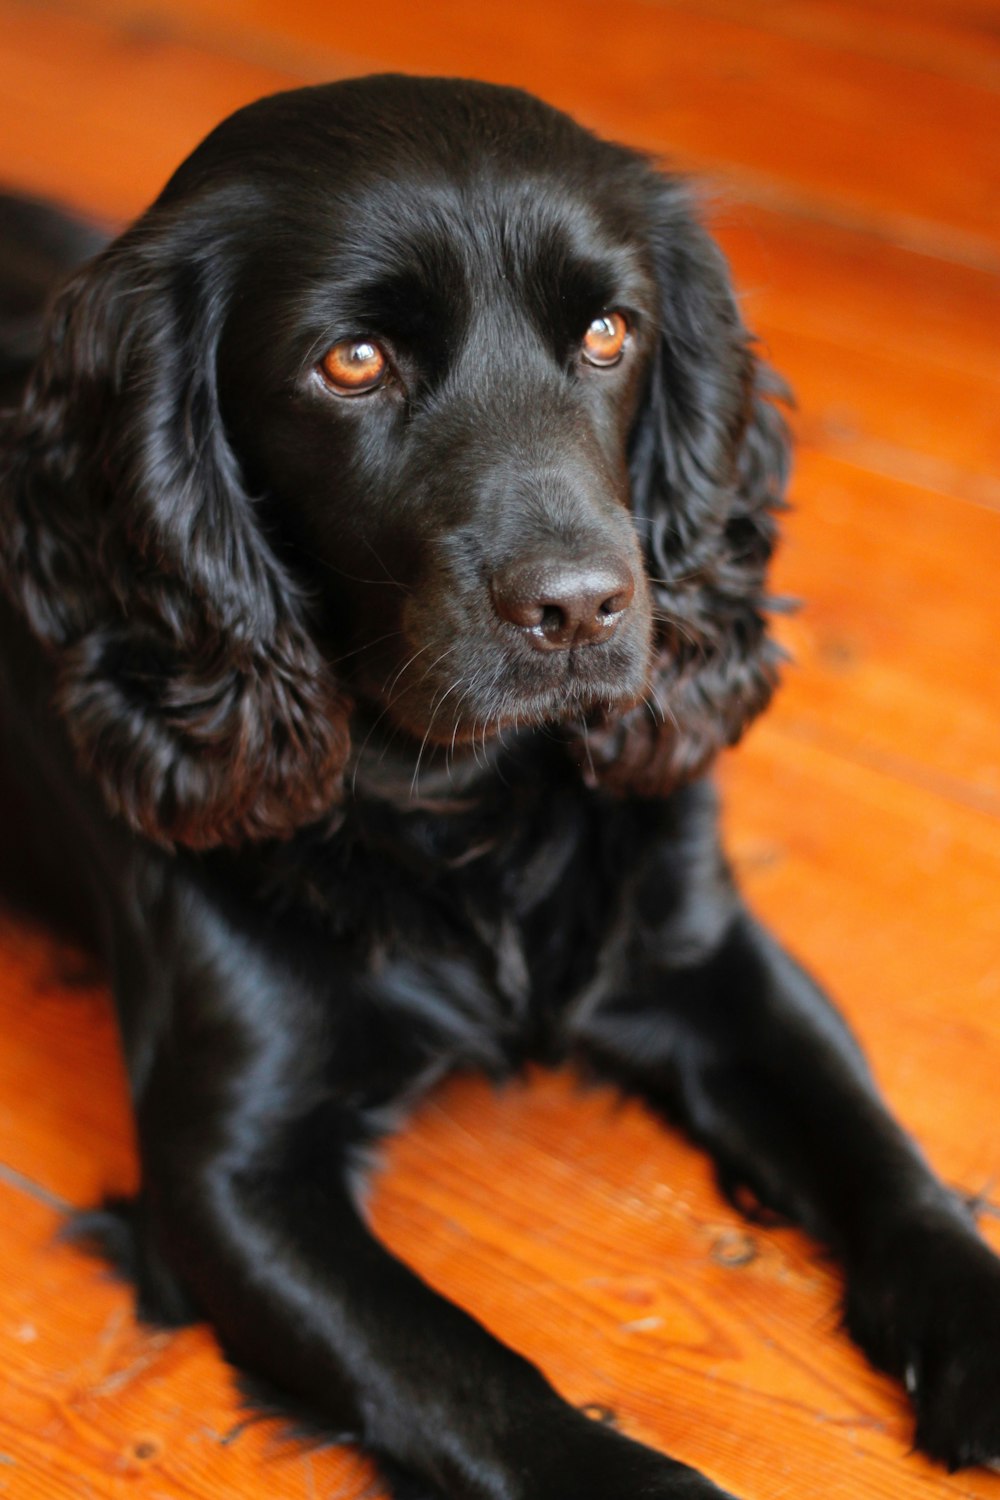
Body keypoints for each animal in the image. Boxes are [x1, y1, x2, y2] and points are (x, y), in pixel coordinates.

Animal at [1, 73, 1000, 1500]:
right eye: (352, 362)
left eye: (608, 333)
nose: (583, 609)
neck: (460, 805)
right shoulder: (230, 1170)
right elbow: (466, 1376)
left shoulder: (711, 958)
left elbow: (881, 1152)